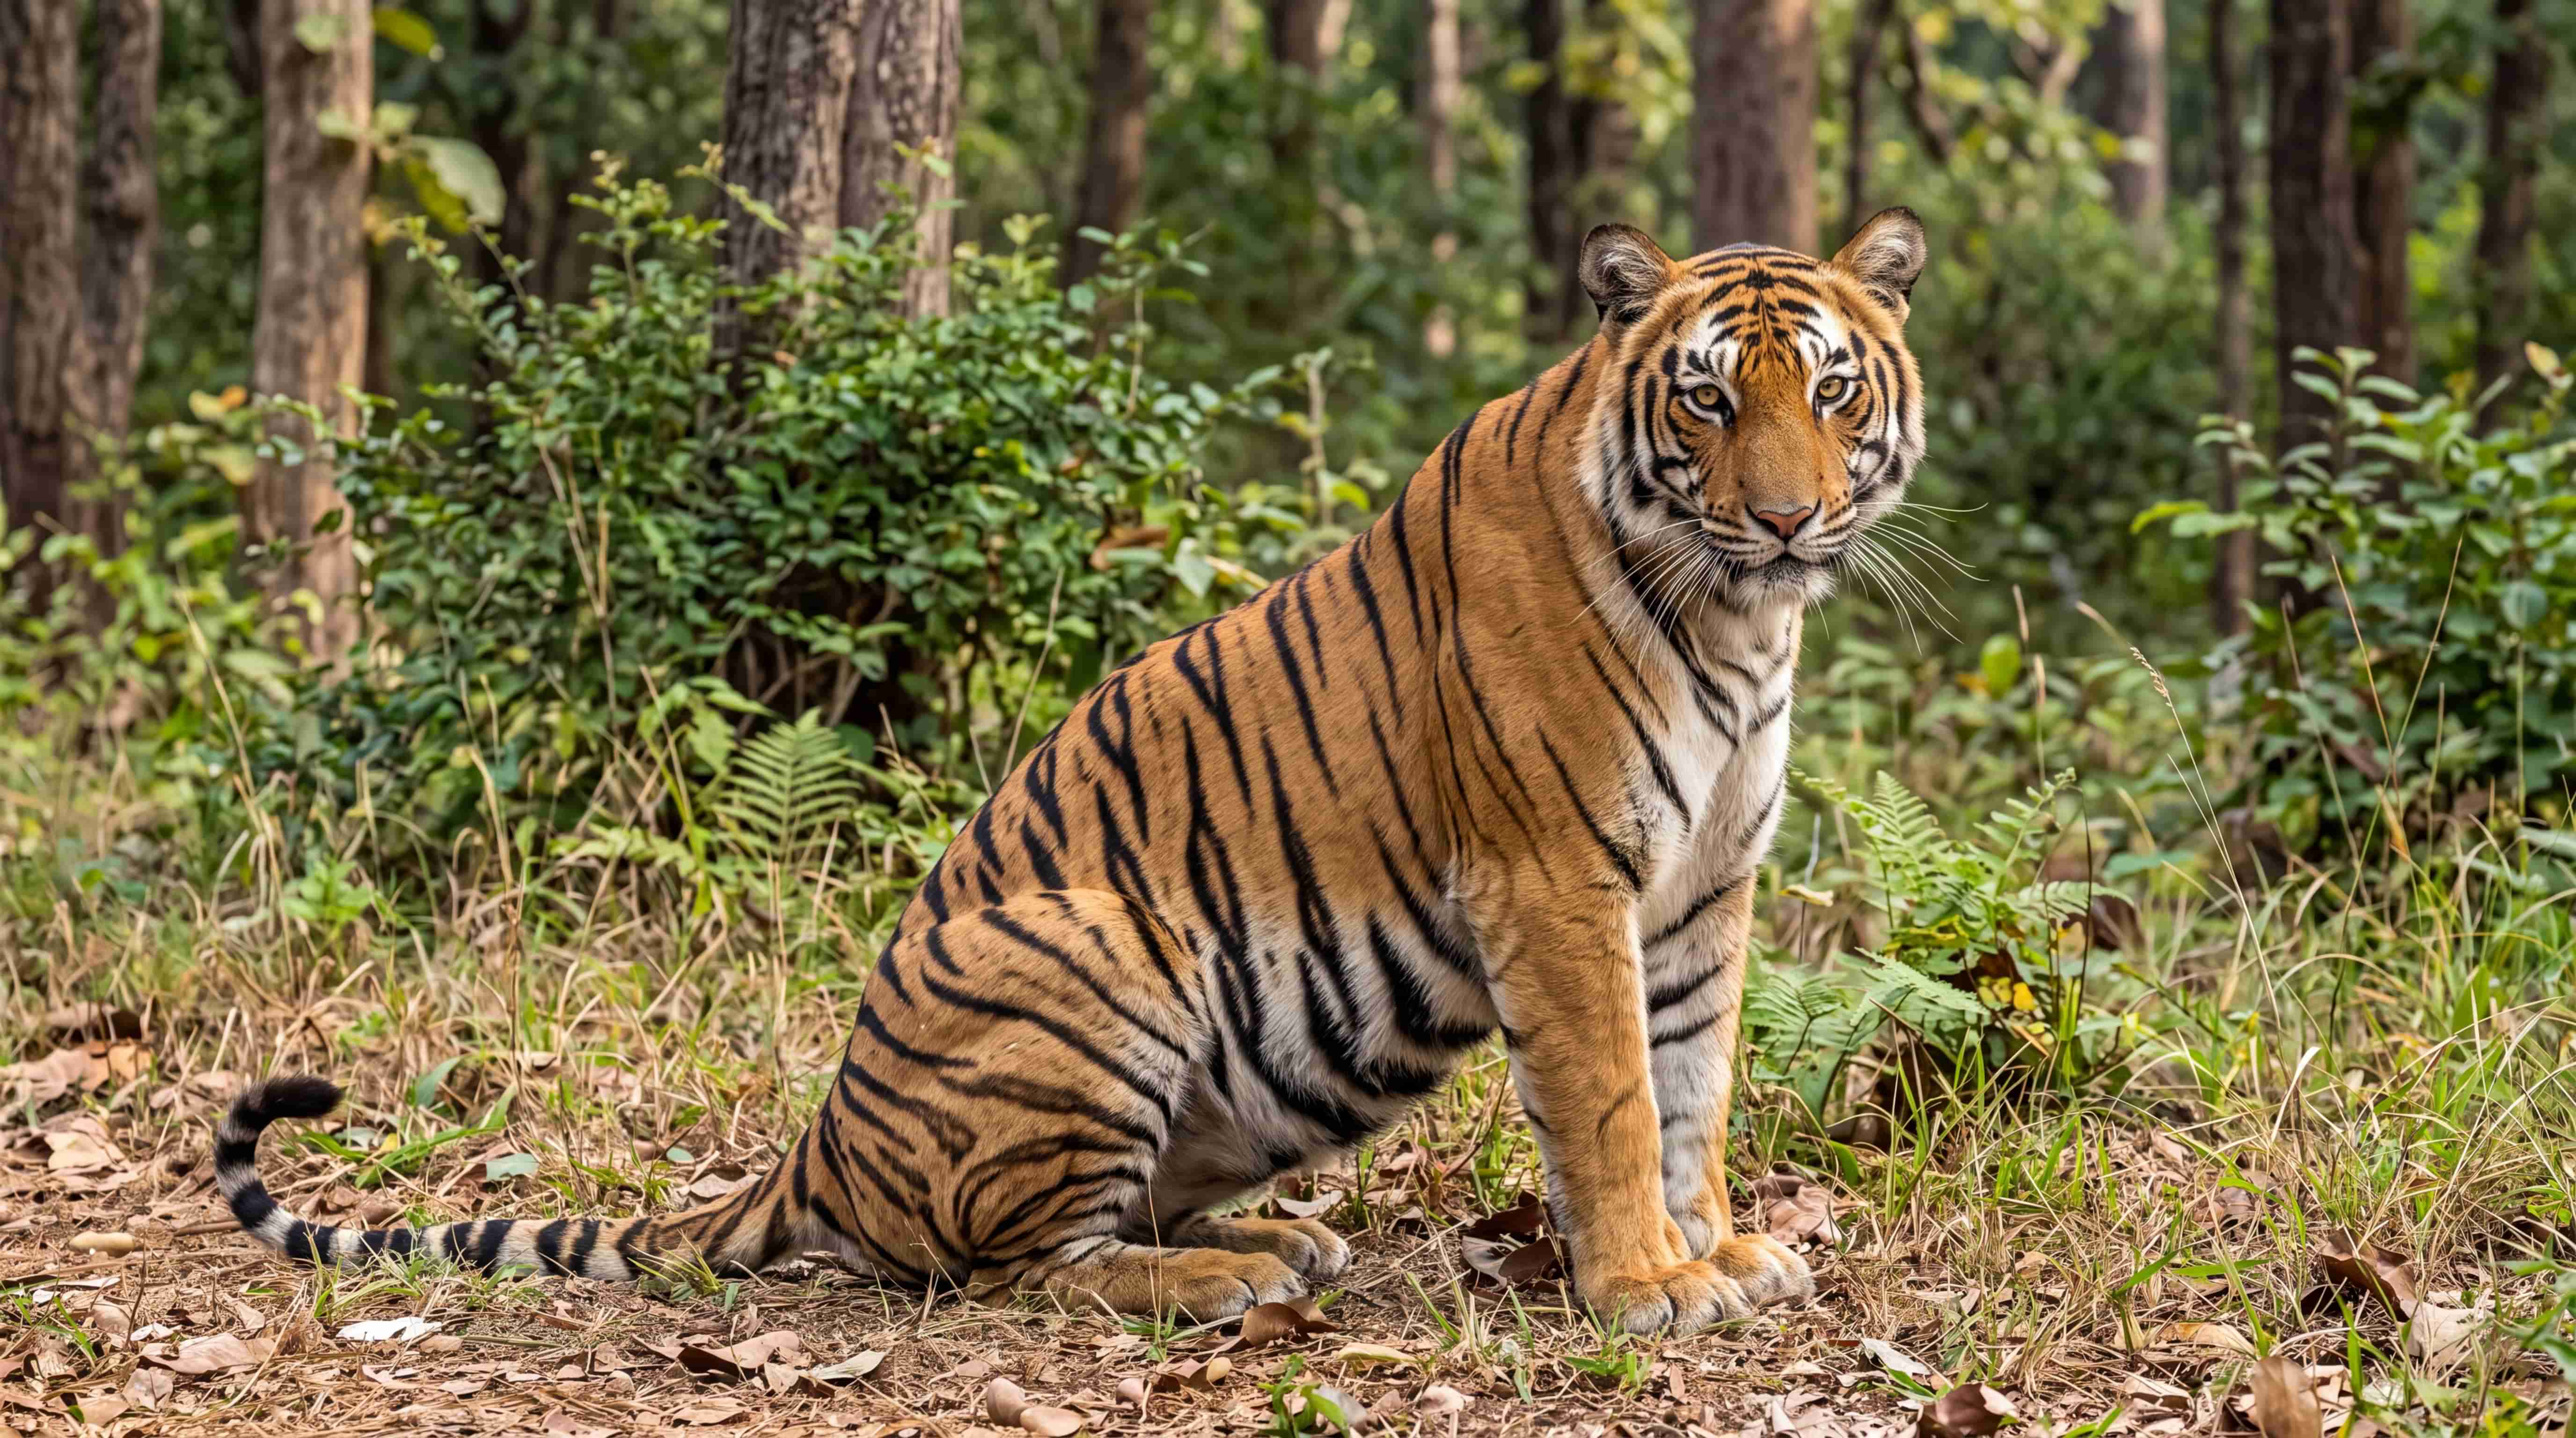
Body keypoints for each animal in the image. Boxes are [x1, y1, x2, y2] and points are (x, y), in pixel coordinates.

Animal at [218, 208, 1930, 1335]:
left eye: (1831, 390)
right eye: (1707, 396)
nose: (1785, 519)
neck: (1737, 623)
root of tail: (818, 1139)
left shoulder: (1704, 888)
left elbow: (1698, 1084)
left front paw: (1719, 1254)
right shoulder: (1557, 880)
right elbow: (1617, 1095)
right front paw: (1645, 1286)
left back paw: (1285, 1238)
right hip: (1098, 954)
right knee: (1012, 1268)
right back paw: (1235, 1274)